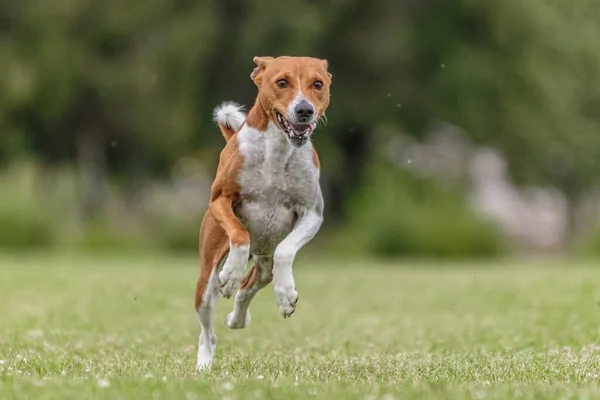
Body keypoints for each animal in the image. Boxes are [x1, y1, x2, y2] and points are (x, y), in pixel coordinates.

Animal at [193, 55, 330, 368]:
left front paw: (286, 295)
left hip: (264, 260)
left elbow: (286, 251)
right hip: (206, 276)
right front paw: (230, 272)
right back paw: (204, 361)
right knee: (208, 328)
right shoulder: (220, 200)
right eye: (282, 82)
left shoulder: (312, 213)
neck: (277, 150)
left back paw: (237, 318)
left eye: (318, 84)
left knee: (253, 282)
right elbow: (239, 234)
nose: (304, 110)